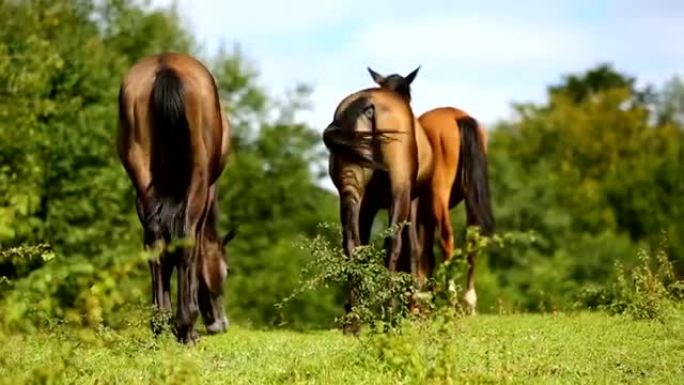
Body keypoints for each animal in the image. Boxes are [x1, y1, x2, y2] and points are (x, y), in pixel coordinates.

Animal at [117, 51, 235, 342]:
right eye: (226, 271)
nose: (221, 324)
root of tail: (166, 66)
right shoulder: (207, 193)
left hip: (141, 178)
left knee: (154, 243)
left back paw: (160, 322)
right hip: (198, 180)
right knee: (186, 238)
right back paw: (186, 326)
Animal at [366, 67, 494, 312]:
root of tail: (457, 117)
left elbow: (413, 247)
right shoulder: (423, 215)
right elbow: (425, 254)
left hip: (438, 196)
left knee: (446, 237)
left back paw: (450, 296)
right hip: (469, 195)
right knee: (472, 236)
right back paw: (468, 300)